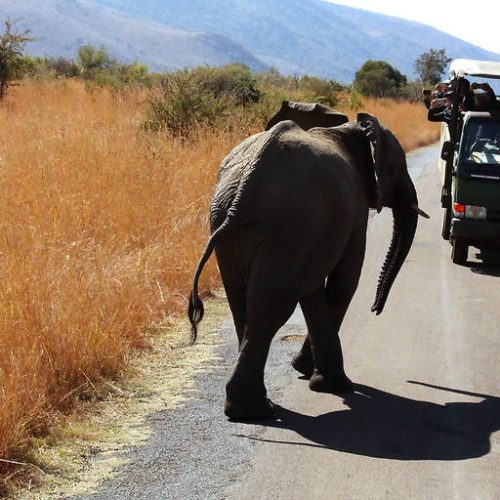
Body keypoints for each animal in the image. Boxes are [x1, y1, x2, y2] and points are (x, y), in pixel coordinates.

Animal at [189, 111, 428, 420]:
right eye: (396, 166)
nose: (375, 309)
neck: (352, 129)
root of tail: (246, 185)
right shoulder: (354, 210)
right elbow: (343, 284)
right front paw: (333, 385)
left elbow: (312, 290)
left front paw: (308, 372)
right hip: (287, 225)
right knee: (271, 310)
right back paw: (255, 410)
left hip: (228, 223)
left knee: (244, 304)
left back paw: (249, 408)